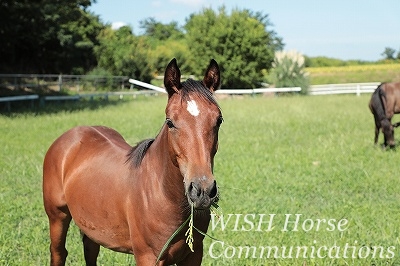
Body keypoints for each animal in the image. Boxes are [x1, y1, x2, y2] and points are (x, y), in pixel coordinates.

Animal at [42, 58, 223, 266]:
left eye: (219, 120)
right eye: (170, 122)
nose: (202, 190)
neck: (162, 196)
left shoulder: (194, 254)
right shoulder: (147, 257)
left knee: (90, 250)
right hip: (57, 217)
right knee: (58, 252)